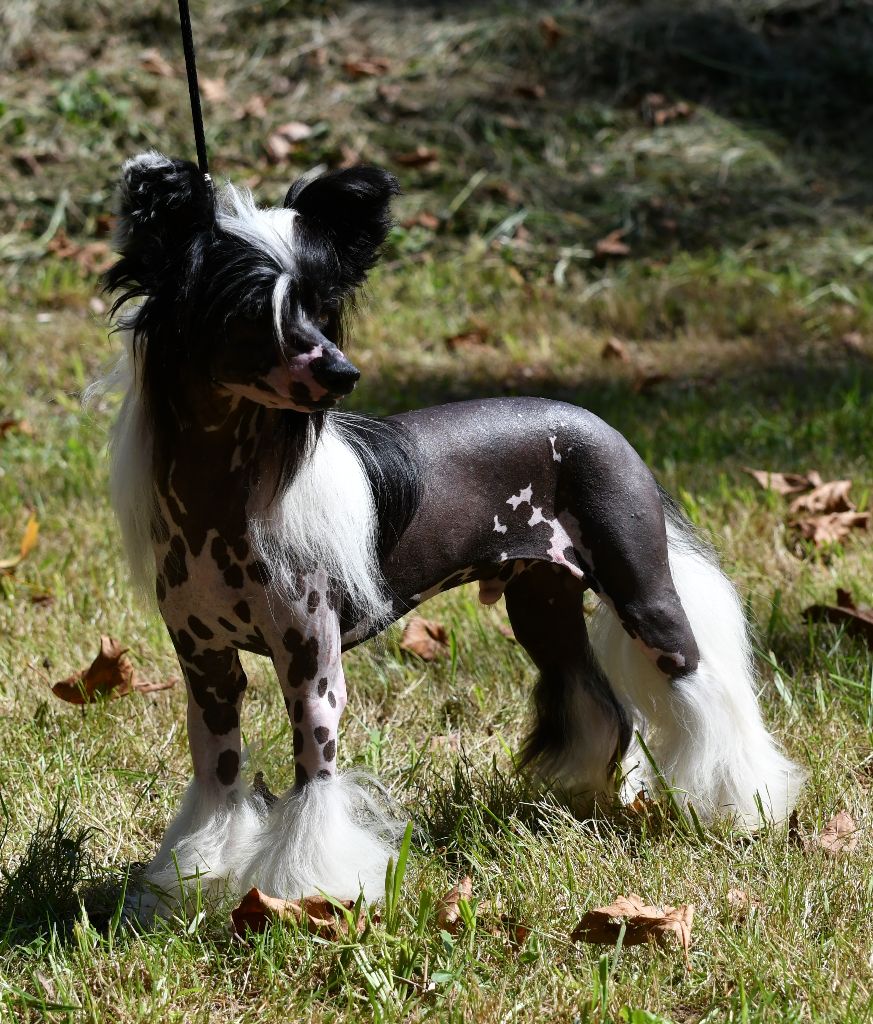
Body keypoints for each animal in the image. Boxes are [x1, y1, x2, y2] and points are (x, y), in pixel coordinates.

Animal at [93, 149, 802, 921]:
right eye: (254, 309)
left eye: (321, 305)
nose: (342, 372)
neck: (225, 499)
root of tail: (602, 427)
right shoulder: (208, 668)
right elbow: (218, 781)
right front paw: (193, 883)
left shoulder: (312, 667)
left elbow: (315, 784)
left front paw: (313, 891)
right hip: (542, 605)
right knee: (596, 700)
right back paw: (579, 796)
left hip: (641, 590)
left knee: (702, 690)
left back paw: (744, 805)